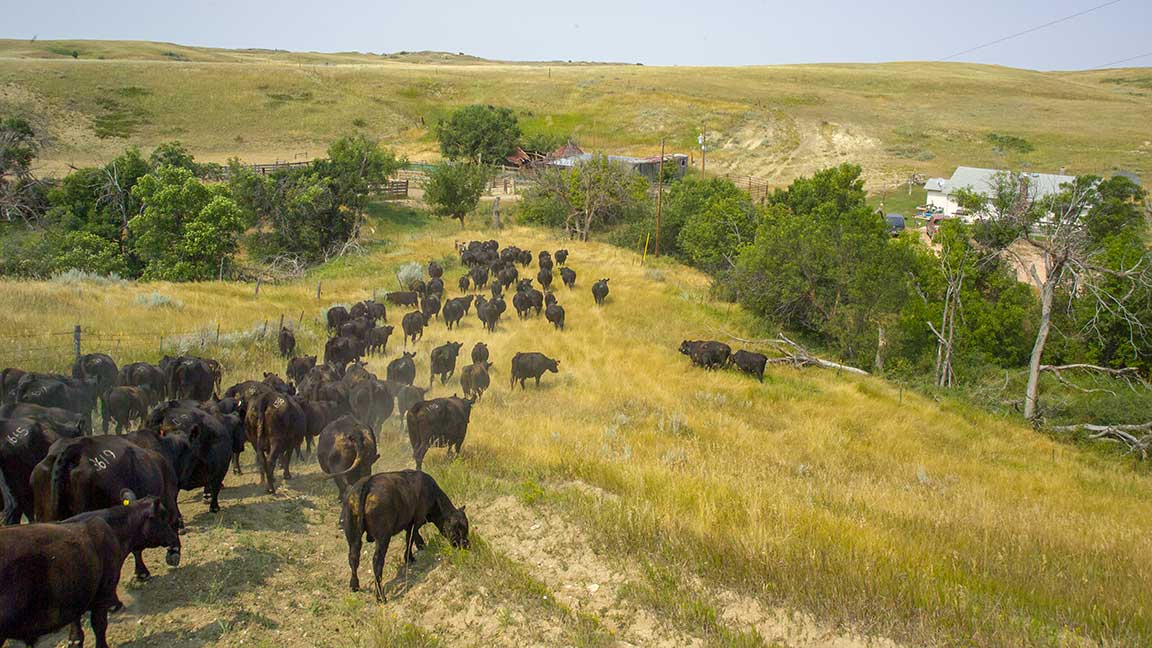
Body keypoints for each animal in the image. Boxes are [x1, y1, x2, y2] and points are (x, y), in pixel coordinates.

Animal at [0, 497, 181, 648]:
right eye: (162, 518)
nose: (174, 541)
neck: (113, 529)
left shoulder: (76, 593)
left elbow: (76, 623)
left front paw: (75, 640)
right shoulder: (102, 592)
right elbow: (99, 625)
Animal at [341, 470, 469, 601]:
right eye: (457, 529)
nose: (465, 545)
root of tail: (367, 484)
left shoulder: (410, 522)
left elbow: (414, 537)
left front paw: (420, 547)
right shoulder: (417, 520)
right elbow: (410, 539)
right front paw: (409, 557)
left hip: (352, 536)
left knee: (353, 557)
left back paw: (354, 585)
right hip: (383, 538)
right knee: (377, 562)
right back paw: (381, 596)